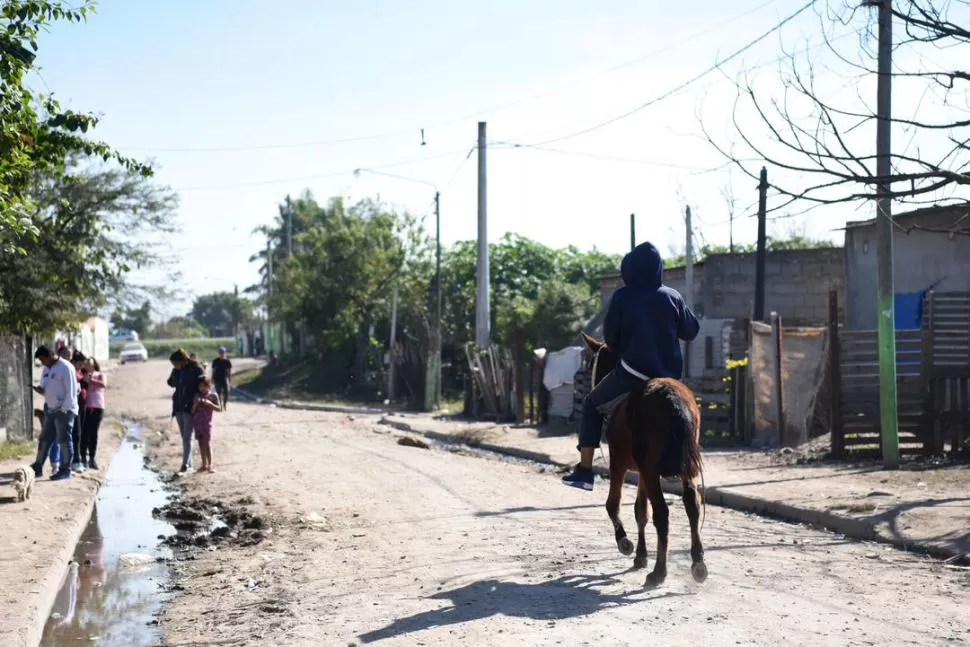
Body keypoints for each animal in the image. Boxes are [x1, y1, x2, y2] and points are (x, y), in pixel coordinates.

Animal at [580, 332, 708, 588]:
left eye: (591, 364)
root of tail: (670, 396)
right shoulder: (641, 472)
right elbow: (640, 511)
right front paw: (640, 556)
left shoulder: (619, 463)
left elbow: (613, 504)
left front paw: (625, 544)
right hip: (681, 469)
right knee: (692, 505)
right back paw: (698, 564)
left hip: (649, 469)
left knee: (662, 514)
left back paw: (659, 572)